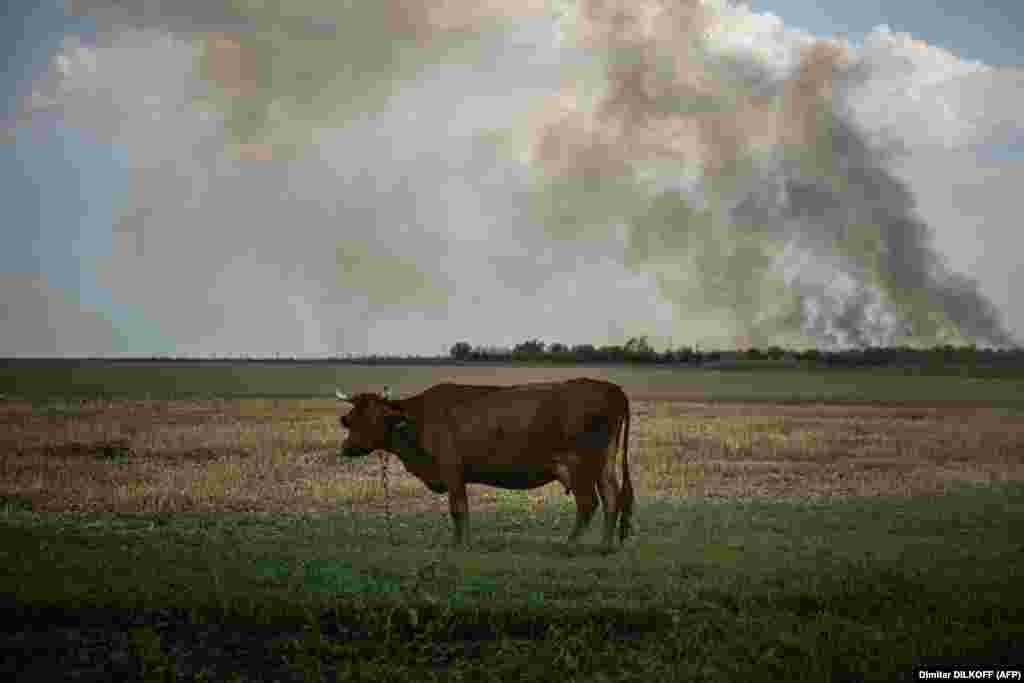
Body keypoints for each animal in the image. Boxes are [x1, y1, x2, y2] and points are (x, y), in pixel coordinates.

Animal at [335, 376, 630, 552]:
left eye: (374, 419)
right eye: (351, 419)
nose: (347, 448)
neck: (419, 421)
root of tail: (610, 388)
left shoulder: (452, 470)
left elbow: (458, 509)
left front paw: (460, 545)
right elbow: (462, 510)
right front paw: (462, 542)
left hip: (578, 464)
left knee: (589, 502)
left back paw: (569, 545)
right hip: (604, 463)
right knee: (611, 497)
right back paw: (604, 546)